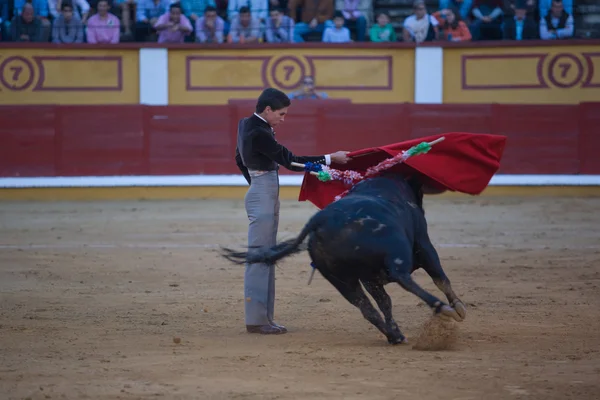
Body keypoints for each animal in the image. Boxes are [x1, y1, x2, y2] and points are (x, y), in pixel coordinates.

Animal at [221, 172, 468, 344]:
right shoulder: (424, 244)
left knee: (366, 307)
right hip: (396, 254)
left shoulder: (369, 278)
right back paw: (441, 309)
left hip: (341, 279)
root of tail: (320, 219)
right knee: (403, 277)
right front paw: (458, 308)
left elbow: (384, 302)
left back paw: (395, 335)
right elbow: (440, 277)